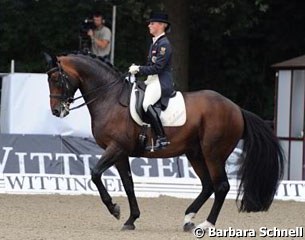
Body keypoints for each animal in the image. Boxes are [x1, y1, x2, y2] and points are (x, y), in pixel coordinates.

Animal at [44, 53, 282, 232]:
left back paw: (206, 225)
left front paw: (114, 209)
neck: (109, 98)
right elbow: (128, 184)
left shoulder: (116, 148)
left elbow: (95, 174)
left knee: (221, 186)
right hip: (195, 153)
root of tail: (236, 108)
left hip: (213, 153)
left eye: (57, 79)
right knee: (207, 185)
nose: (56, 111)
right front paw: (131, 219)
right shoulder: (121, 153)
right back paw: (188, 219)